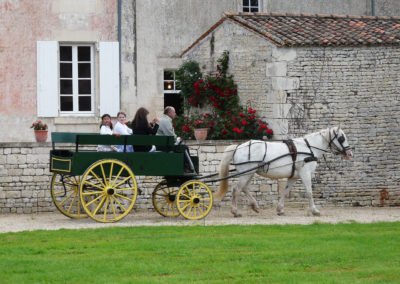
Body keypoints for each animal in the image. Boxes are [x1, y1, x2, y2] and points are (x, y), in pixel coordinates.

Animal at [216, 127, 354, 217]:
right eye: (342, 138)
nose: (349, 154)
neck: (309, 148)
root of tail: (238, 146)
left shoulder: (293, 177)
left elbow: (285, 192)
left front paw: (280, 209)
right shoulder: (305, 174)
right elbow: (309, 192)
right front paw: (314, 210)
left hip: (249, 173)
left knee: (244, 188)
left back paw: (255, 206)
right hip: (246, 173)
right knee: (236, 189)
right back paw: (235, 212)